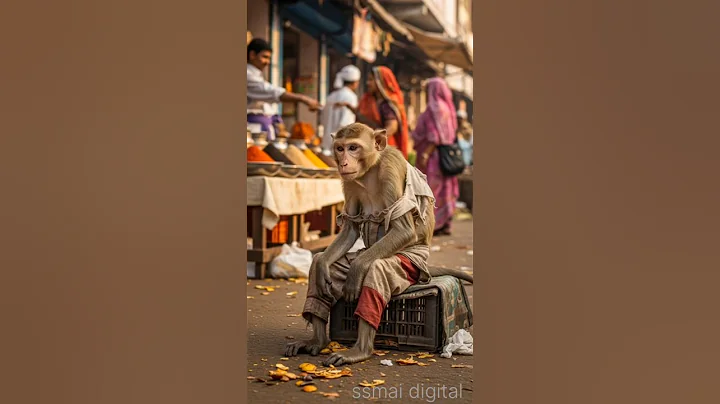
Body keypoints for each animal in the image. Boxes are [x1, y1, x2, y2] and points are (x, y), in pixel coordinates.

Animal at [285, 123, 472, 366]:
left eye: (353, 147)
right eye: (340, 148)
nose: (343, 162)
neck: (370, 170)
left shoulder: (390, 169)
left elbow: (403, 229)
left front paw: (356, 272)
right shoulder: (349, 180)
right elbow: (350, 229)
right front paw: (324, 263)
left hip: (409, 265)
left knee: (377, 269)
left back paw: (360, 350)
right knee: (324, 267)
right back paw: (318, 340)